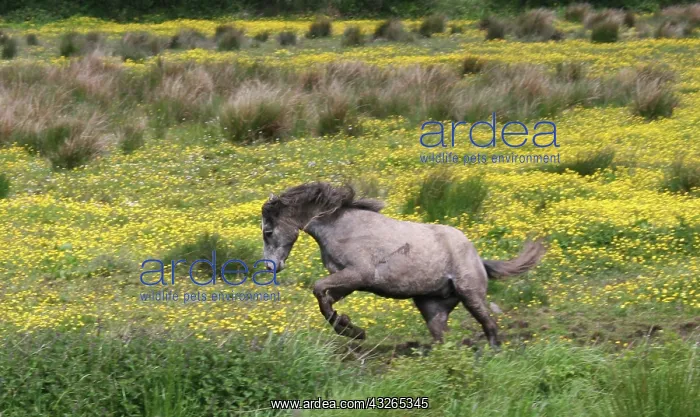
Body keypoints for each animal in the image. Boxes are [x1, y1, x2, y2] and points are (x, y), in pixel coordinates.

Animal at [261, 182, 545, 348]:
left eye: (268, 231)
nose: (271, 267)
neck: (340, 226)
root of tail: (477, 257)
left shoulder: (359, 274)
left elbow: (319, 289)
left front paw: (353, 330)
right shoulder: (347, 280)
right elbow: (324, 301)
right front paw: (352, 330)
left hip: (471, 295)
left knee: (490, 326)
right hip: (433, 308)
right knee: (443, 340)